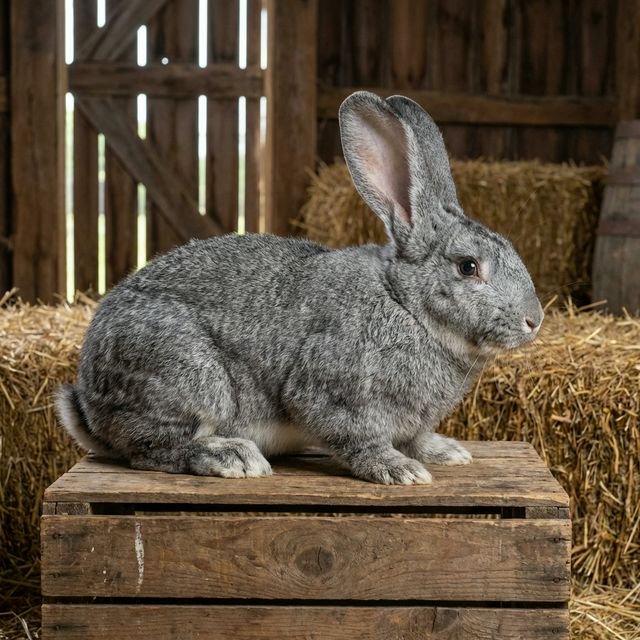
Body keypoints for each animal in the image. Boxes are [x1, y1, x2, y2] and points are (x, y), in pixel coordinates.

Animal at [56, 91, 543, 485]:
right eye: (467, 267)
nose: (533, 320)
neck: (405, 304)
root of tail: (87, 405)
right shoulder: (331, 394)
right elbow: (358, 439)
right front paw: (400, 470)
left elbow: (416, 437)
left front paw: (445, 452)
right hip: (189, 378)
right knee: (152, 450)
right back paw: (231, 457)